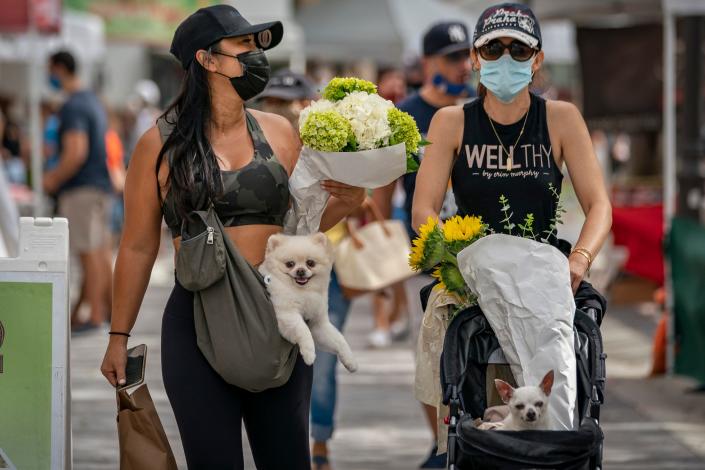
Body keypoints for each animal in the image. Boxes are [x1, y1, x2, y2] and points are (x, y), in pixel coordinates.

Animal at [258, 233, 358, 372]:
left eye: (310, 263)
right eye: (290, 264)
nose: (300, 270)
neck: (302, 292)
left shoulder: (318, 324)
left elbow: (339, 339)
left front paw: (350, 360)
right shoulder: (287, 315)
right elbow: (303, 330)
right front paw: (309, 354)